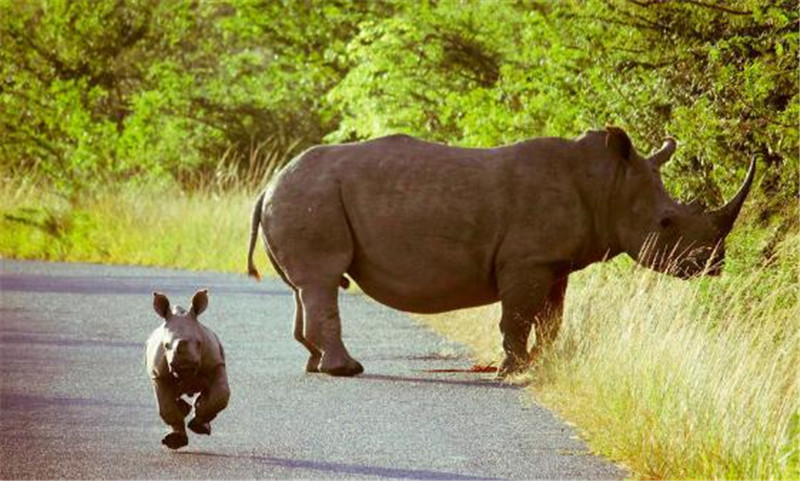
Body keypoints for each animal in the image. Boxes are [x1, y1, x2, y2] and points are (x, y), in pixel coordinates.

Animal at [144, 288, 230, 450]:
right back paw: (175, 437)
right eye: (166, 346)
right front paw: (176, 440)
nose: (184, 365)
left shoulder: (216, 365)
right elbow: (166, 407)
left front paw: (198, 423)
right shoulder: (159, 375)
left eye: (199, 343)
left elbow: (221, 396)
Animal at [247, 126, 752, 376]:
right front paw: (512, 370)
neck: (607, 183)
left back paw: (316, 365)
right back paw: (347, 371)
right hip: (311, 194)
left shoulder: (554, 262)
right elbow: (518, 316)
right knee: (322, 280)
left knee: (308, 285)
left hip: (305, 195)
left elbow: (551, 318)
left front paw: (541, 363)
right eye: (666, 223)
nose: (714, 265)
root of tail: (268, 184)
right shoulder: (526, 260)